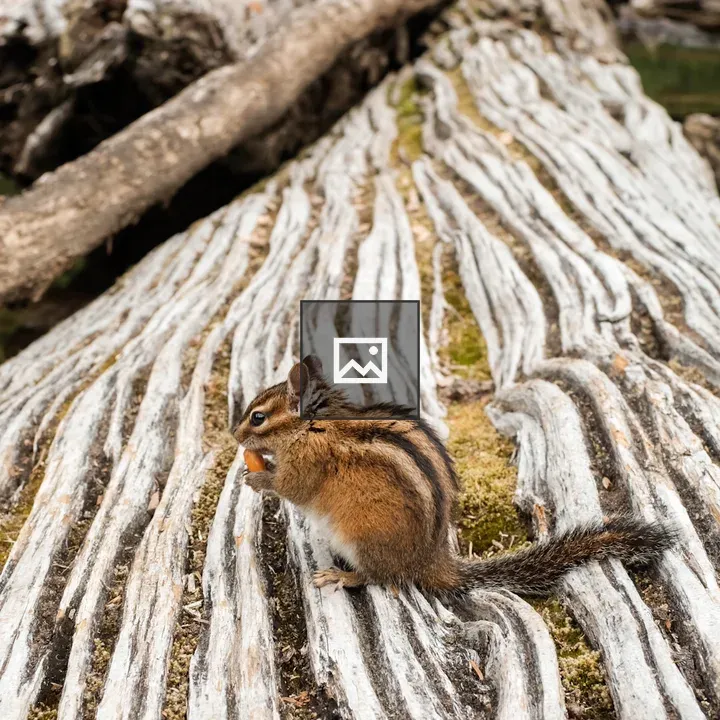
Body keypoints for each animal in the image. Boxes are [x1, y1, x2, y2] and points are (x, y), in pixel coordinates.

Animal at [234, 355, 676, 594]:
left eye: (257, 417)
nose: (234, 435)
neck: (312, 425)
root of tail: (430, 561)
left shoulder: (308, 464)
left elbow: (290, 486)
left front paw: (256, 478)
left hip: (362, 538)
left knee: (377, 577)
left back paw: (341, 576)